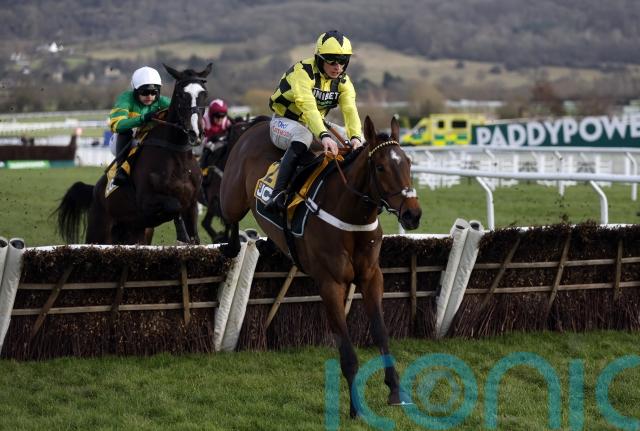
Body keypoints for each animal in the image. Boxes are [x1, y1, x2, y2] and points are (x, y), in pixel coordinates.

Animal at [55, 63, 211, 245]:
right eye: (181, 94)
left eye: (204, 94)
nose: (195, 133)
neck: (177, 156)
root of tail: (94, 192)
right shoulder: (146, 201)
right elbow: (174, 205)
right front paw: (181, 234)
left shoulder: (192, 204)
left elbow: (194, 235)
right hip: (99, 233)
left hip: (137, 234)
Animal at [219, 115, 422, 418]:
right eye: (381, 167)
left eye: (408, 162)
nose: (413, 214)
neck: (350, 216)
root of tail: (258, 123)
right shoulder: (330, 284)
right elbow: (347, 352)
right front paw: (355, 407)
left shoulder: (372, 277)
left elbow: (381, 332)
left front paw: (396, 391)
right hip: (233, 196)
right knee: (229, 217)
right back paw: (233, 245)